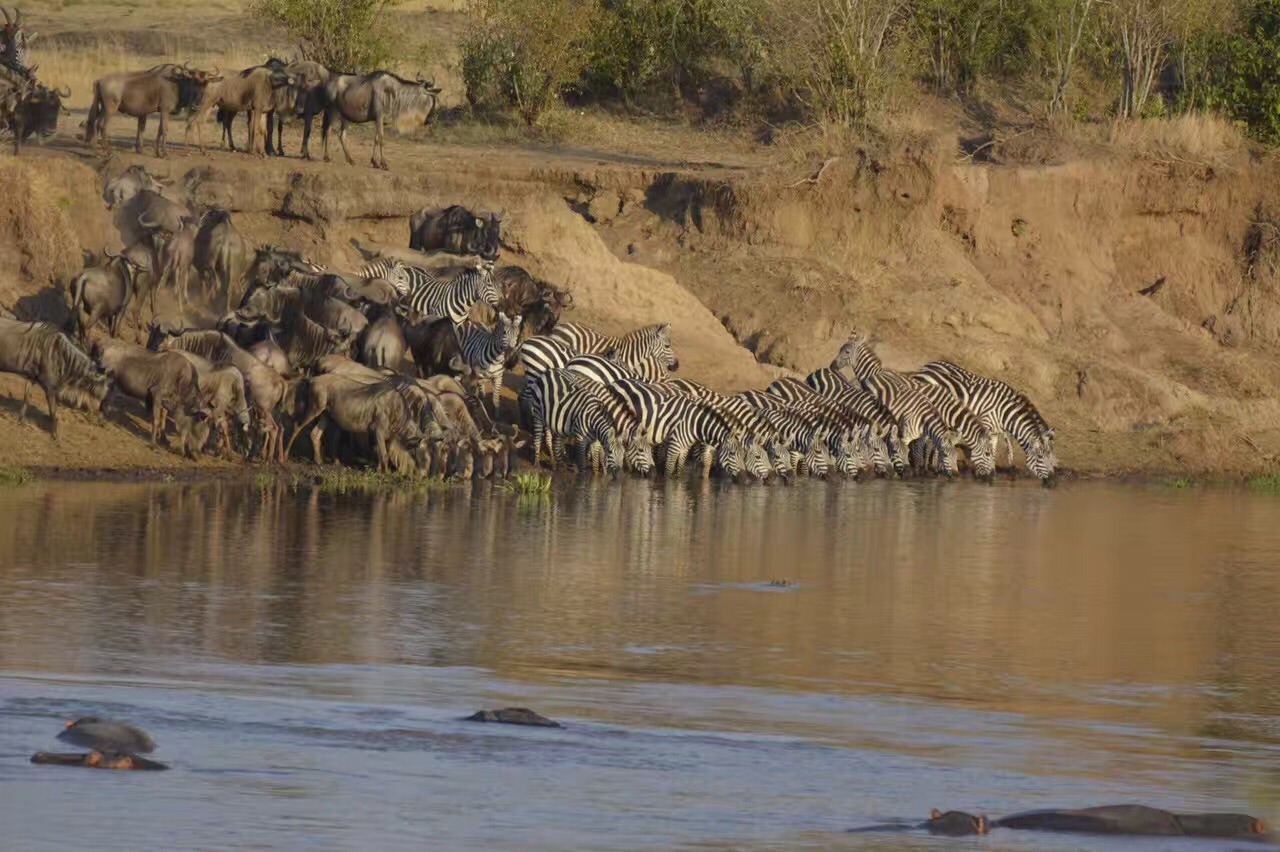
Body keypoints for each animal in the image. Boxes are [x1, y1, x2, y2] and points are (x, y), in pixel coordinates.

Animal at [916, 355, 1054, 478]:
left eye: (1050, 454)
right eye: (1042, 456)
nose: (1052, 478)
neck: (1004, 410)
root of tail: (928, 365)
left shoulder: (997, 431)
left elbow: (995, 449)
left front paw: (994, 470)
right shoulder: (987, 425)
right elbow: (1001, 446)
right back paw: (931, 468)